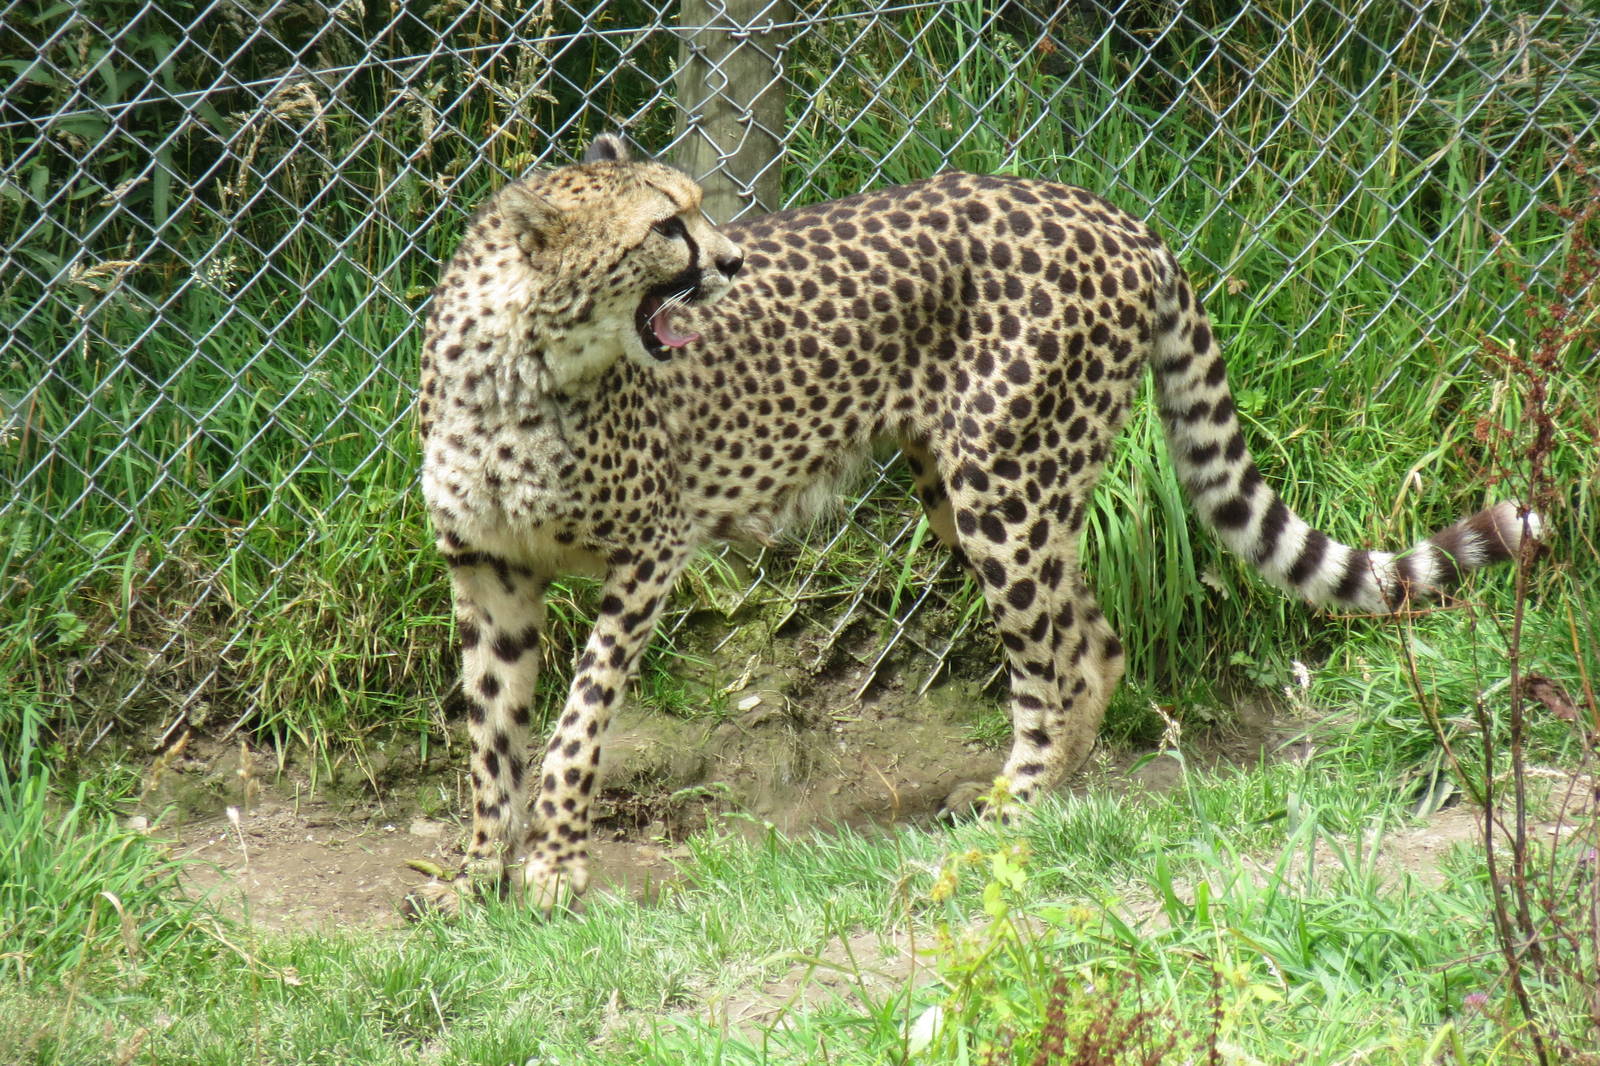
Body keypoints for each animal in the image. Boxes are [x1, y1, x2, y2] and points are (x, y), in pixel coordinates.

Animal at [416, 132, 1537, 913]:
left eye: (694, 211)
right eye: (664, 227)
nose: (730, 261)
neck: (522, 367)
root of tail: (1113, 213)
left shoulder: (649, 553)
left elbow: (575, 724)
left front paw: (553, 869)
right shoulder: (487, 571)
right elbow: (489, 739)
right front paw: (475, 878)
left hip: (1002, 479)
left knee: (1065, 650)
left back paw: (1021, 805)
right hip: (968, 490)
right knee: (1092, 634)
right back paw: (1038, 787)